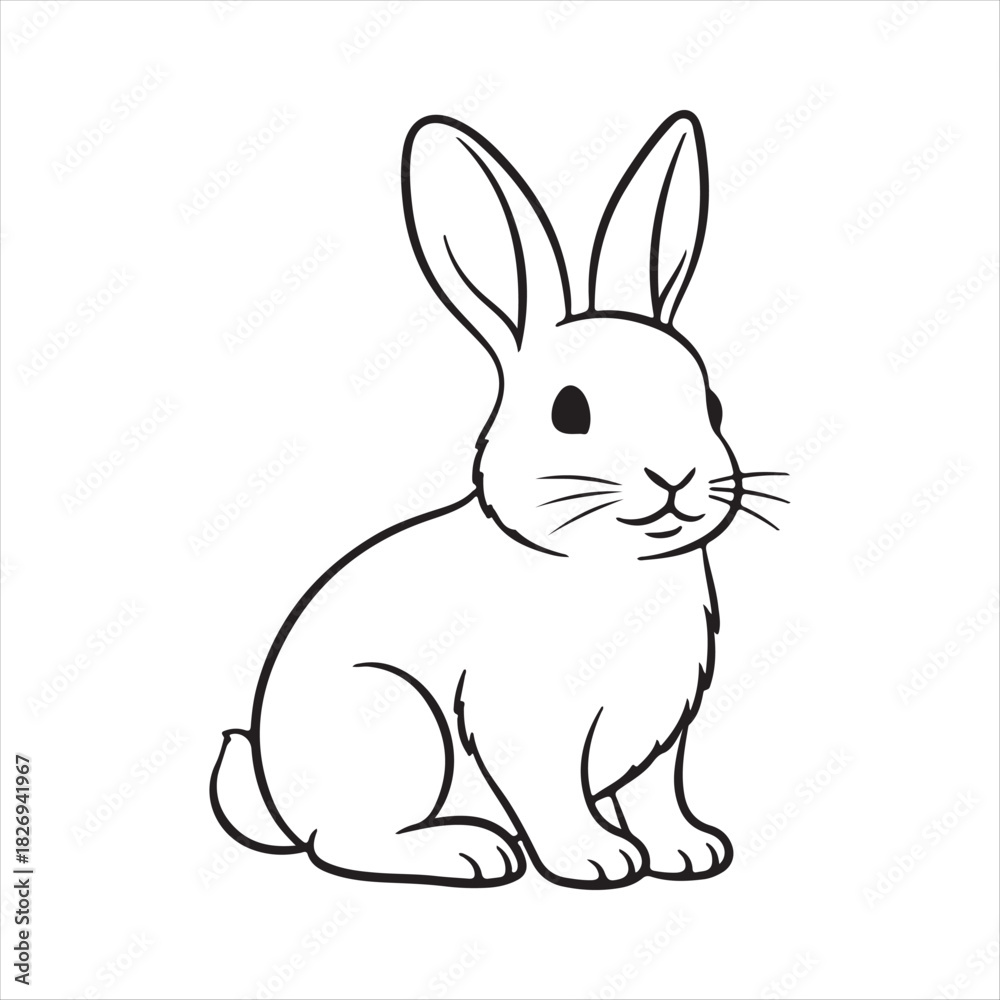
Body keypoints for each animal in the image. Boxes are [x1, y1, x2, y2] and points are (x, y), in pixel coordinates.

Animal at [211, 110, 786, 888]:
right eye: (569, 412)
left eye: (714, 405)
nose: (675, 477)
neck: (608, 564)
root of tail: (277, 798)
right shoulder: (524, 723)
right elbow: (552, 795)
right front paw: (599, 860)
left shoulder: (665, 733)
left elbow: (658, 794)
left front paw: (690, 851)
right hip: (402, 724)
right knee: (343, 843)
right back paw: (471, 851)